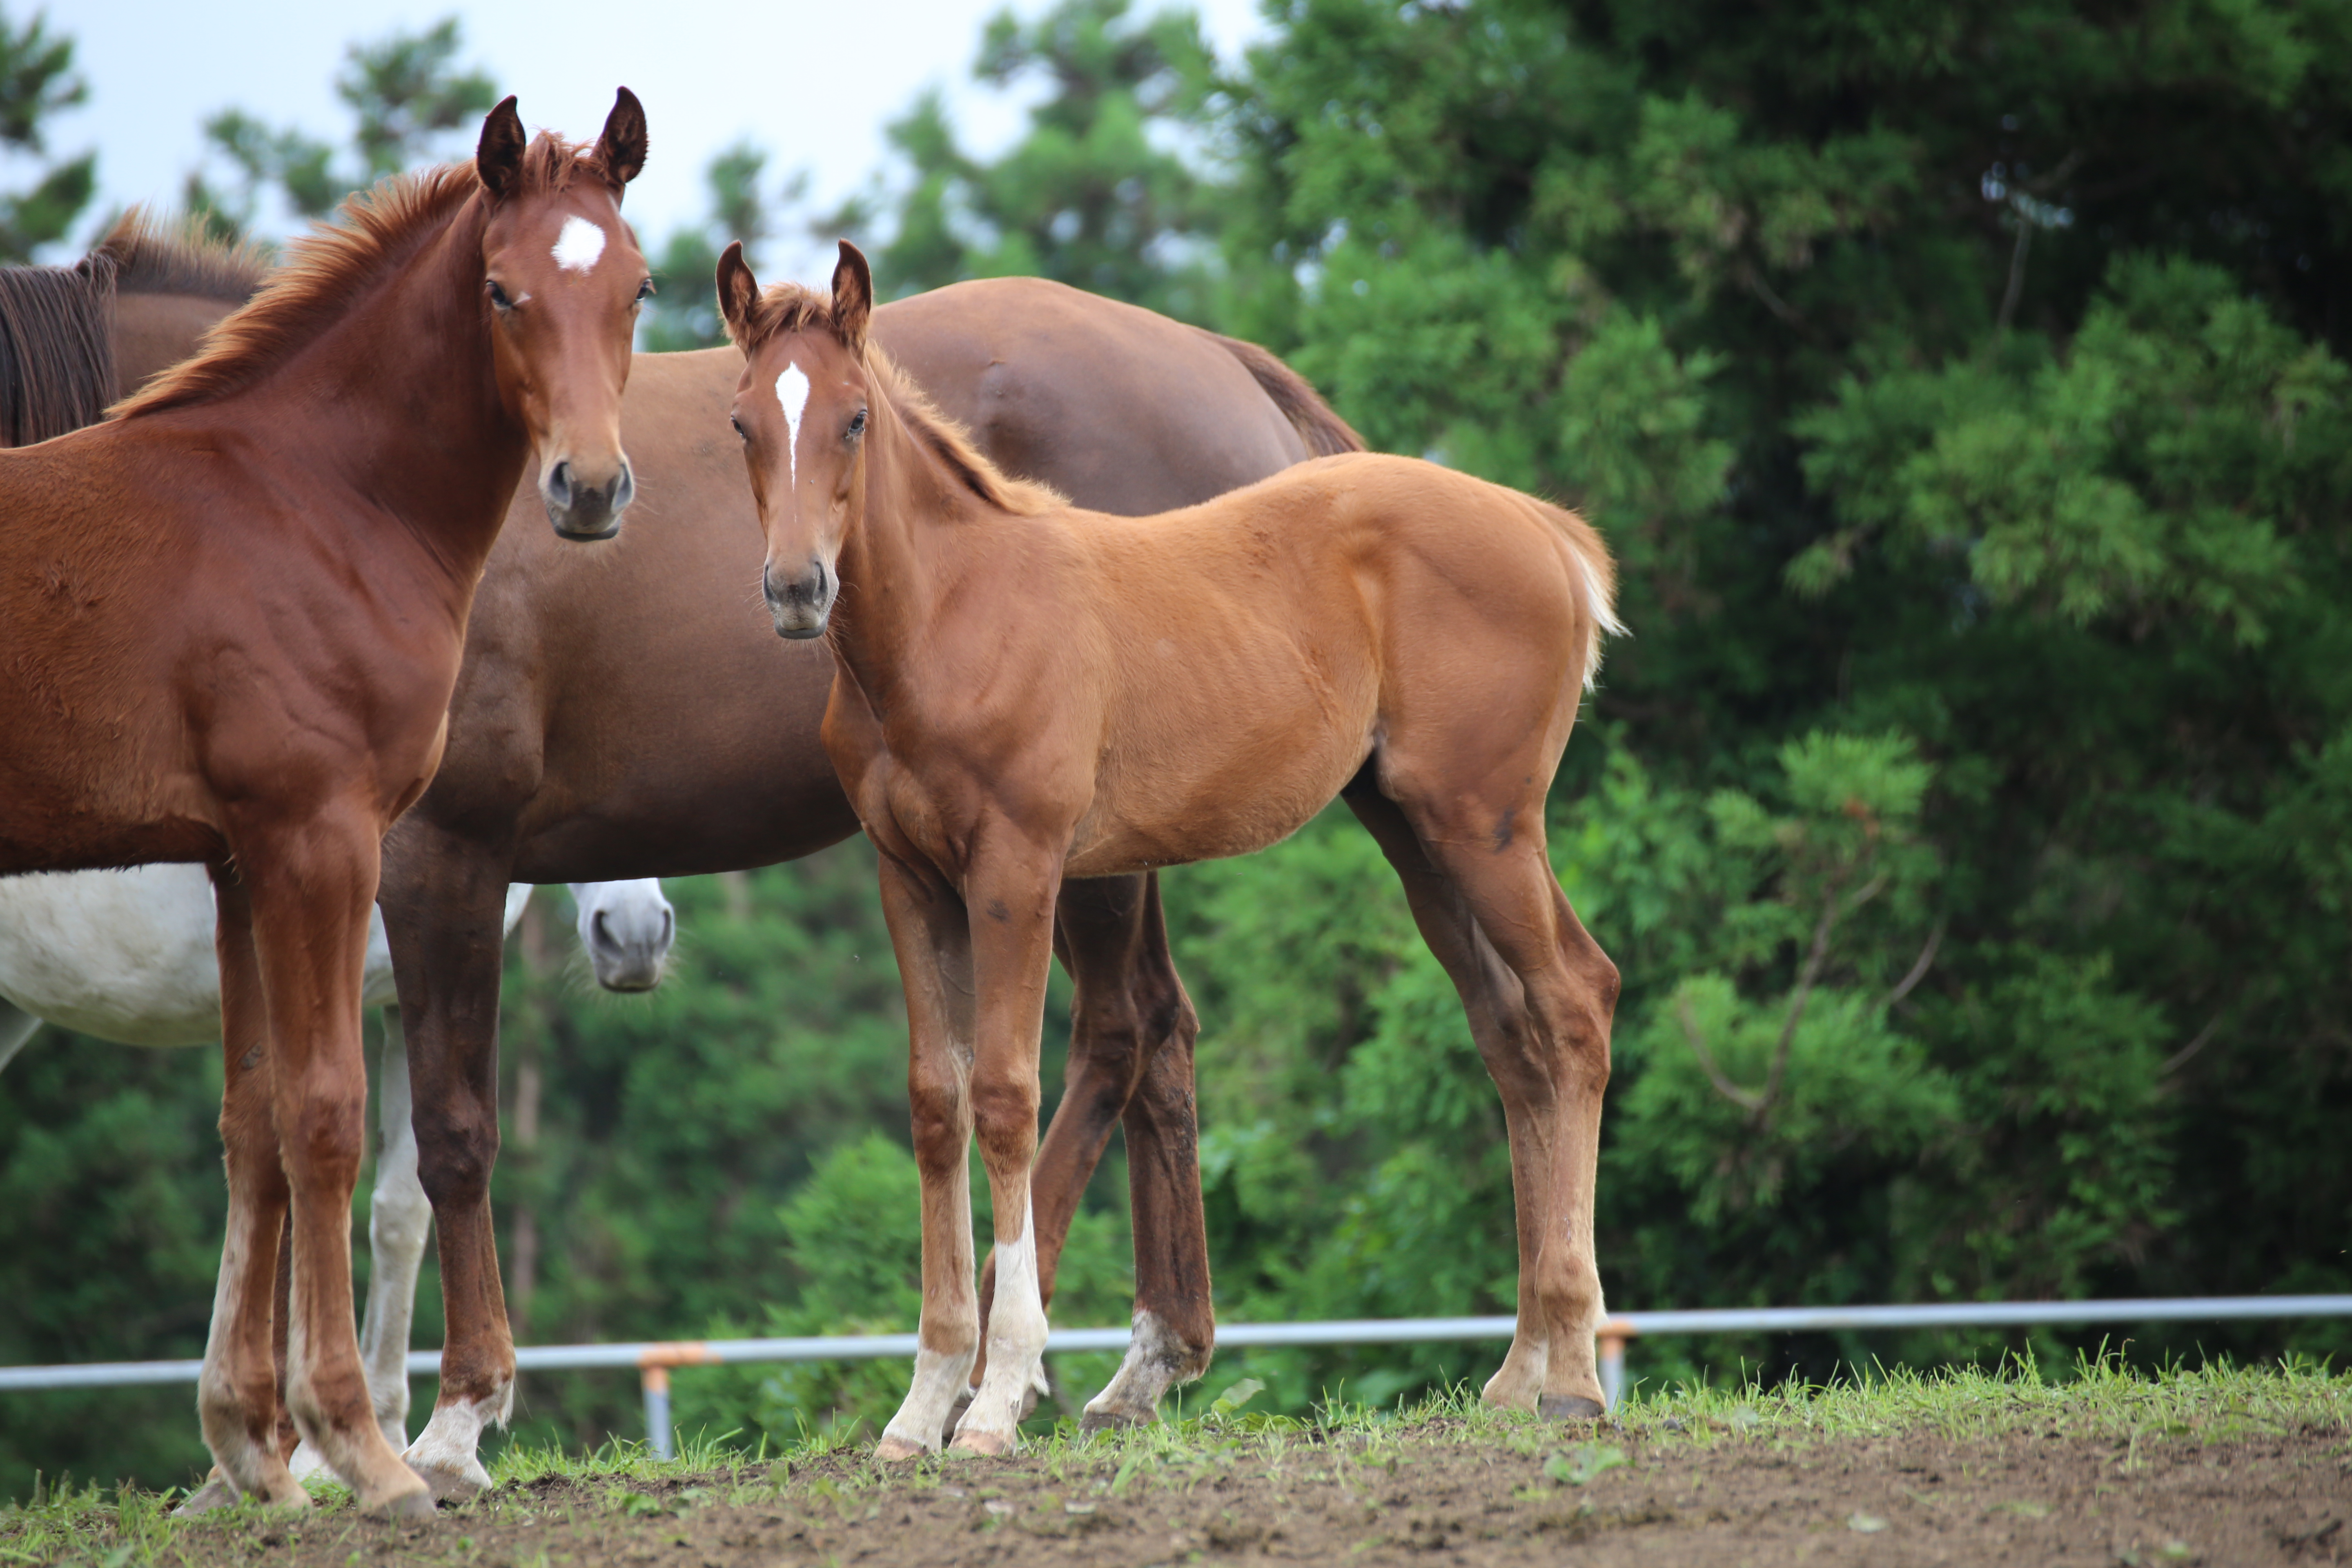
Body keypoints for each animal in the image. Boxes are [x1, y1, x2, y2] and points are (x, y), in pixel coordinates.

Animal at [0, 98, 654, 1523]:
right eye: (503, 292)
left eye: (638, 288)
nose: (588, 489)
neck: (305, 502)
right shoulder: (322, 844)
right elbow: (326, 1121)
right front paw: (360, 1445)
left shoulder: (243, 861)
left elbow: (260, 1129)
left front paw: (253, 1445)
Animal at [383, 272, 1364, 1495]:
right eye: (738, 427)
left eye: (857, 421)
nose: (796, 587)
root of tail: (1223, 358)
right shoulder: (910, 872)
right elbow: (935, 1096)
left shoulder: (436, 846)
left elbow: (422, 1137)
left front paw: (435, 1427)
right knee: (1157, 1029)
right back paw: (1133, 1362)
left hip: (1081, 860)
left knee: (1119, 1029)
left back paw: (1020, 1364)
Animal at [719, 245, 1637, 1457]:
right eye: (740, 422)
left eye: (856, 417)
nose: (794, 590)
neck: (951, 616)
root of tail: (1546, 531)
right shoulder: (908, 879)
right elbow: (934, 1102)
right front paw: (919, 1407)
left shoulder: (1018, 867)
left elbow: (1005, 1095)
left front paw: (995, 1400)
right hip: (1418, 834)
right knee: (1512, 1035)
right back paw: (1516, 1371)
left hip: (1487, 821)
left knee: (1577, 998)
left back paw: (1574, 1375)